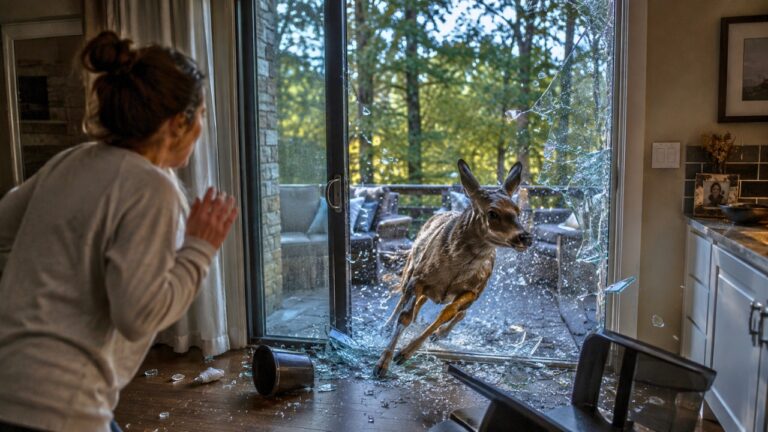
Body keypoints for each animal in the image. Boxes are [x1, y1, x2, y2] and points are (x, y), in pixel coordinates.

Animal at [373, 159, 532, 378]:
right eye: (492, 213)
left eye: (518, 211)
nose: (526, 238)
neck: (453, 272)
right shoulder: (419, 278)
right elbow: (404, 316)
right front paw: (382, 364)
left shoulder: (472, 291)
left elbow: (446, 314)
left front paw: (405, 353)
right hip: (411, 266)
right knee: (403, 298)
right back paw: (387, 325)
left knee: (453, 311)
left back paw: (439, 333)